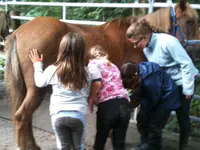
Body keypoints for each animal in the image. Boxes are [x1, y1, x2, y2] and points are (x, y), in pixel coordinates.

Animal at [2, 0, 200, 150]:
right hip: (37, 89)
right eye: (189, 21)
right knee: (22, 116)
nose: (196, 52)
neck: (133, 41)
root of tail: (19, 32)